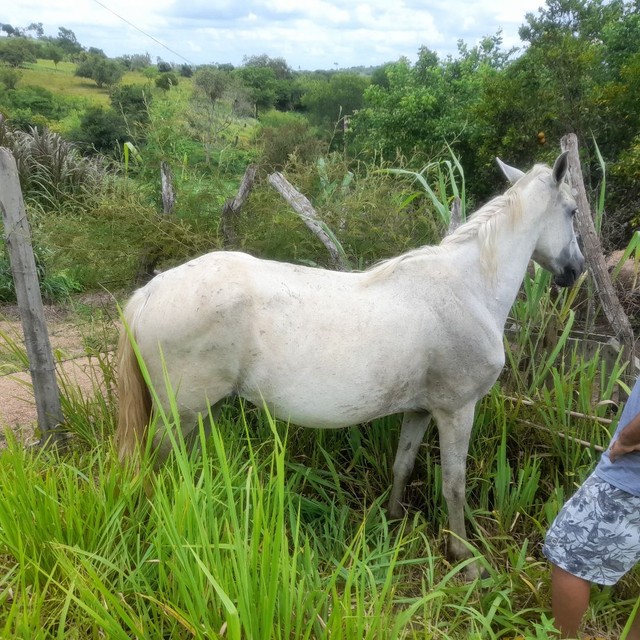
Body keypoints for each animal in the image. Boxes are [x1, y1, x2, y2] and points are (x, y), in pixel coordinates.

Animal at [116, 152, 584, 576]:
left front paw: (394, 519)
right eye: (573, 210)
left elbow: (403, 464)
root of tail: (150, 292)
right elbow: (454, 483)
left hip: (199, 412)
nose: (575, 270)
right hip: (178, 415)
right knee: (157, 463)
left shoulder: (420, 410)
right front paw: (465, 560)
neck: (469, 288)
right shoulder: (457, 410)